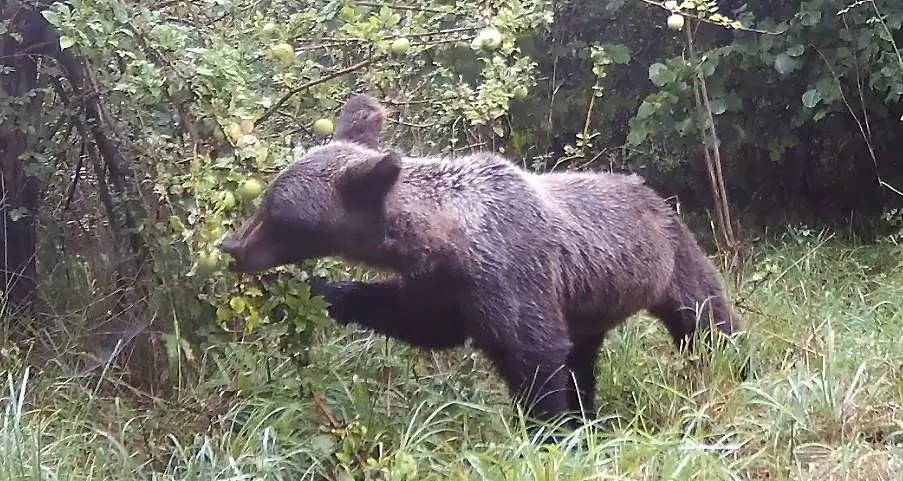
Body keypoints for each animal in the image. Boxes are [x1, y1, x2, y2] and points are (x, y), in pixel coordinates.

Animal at [219, 92, 748, 440]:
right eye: (268, 200)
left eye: (276, 212)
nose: (230, 246)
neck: (444, 238)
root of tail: (655, 193)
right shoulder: (446, 285)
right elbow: (425, 322)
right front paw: (326, 291)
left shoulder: (511, 273)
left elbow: (534, 356)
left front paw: (550, 433)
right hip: (588, 304)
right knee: (584, 359)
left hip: (671, 260)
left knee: (707, 319)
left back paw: (735, 366)